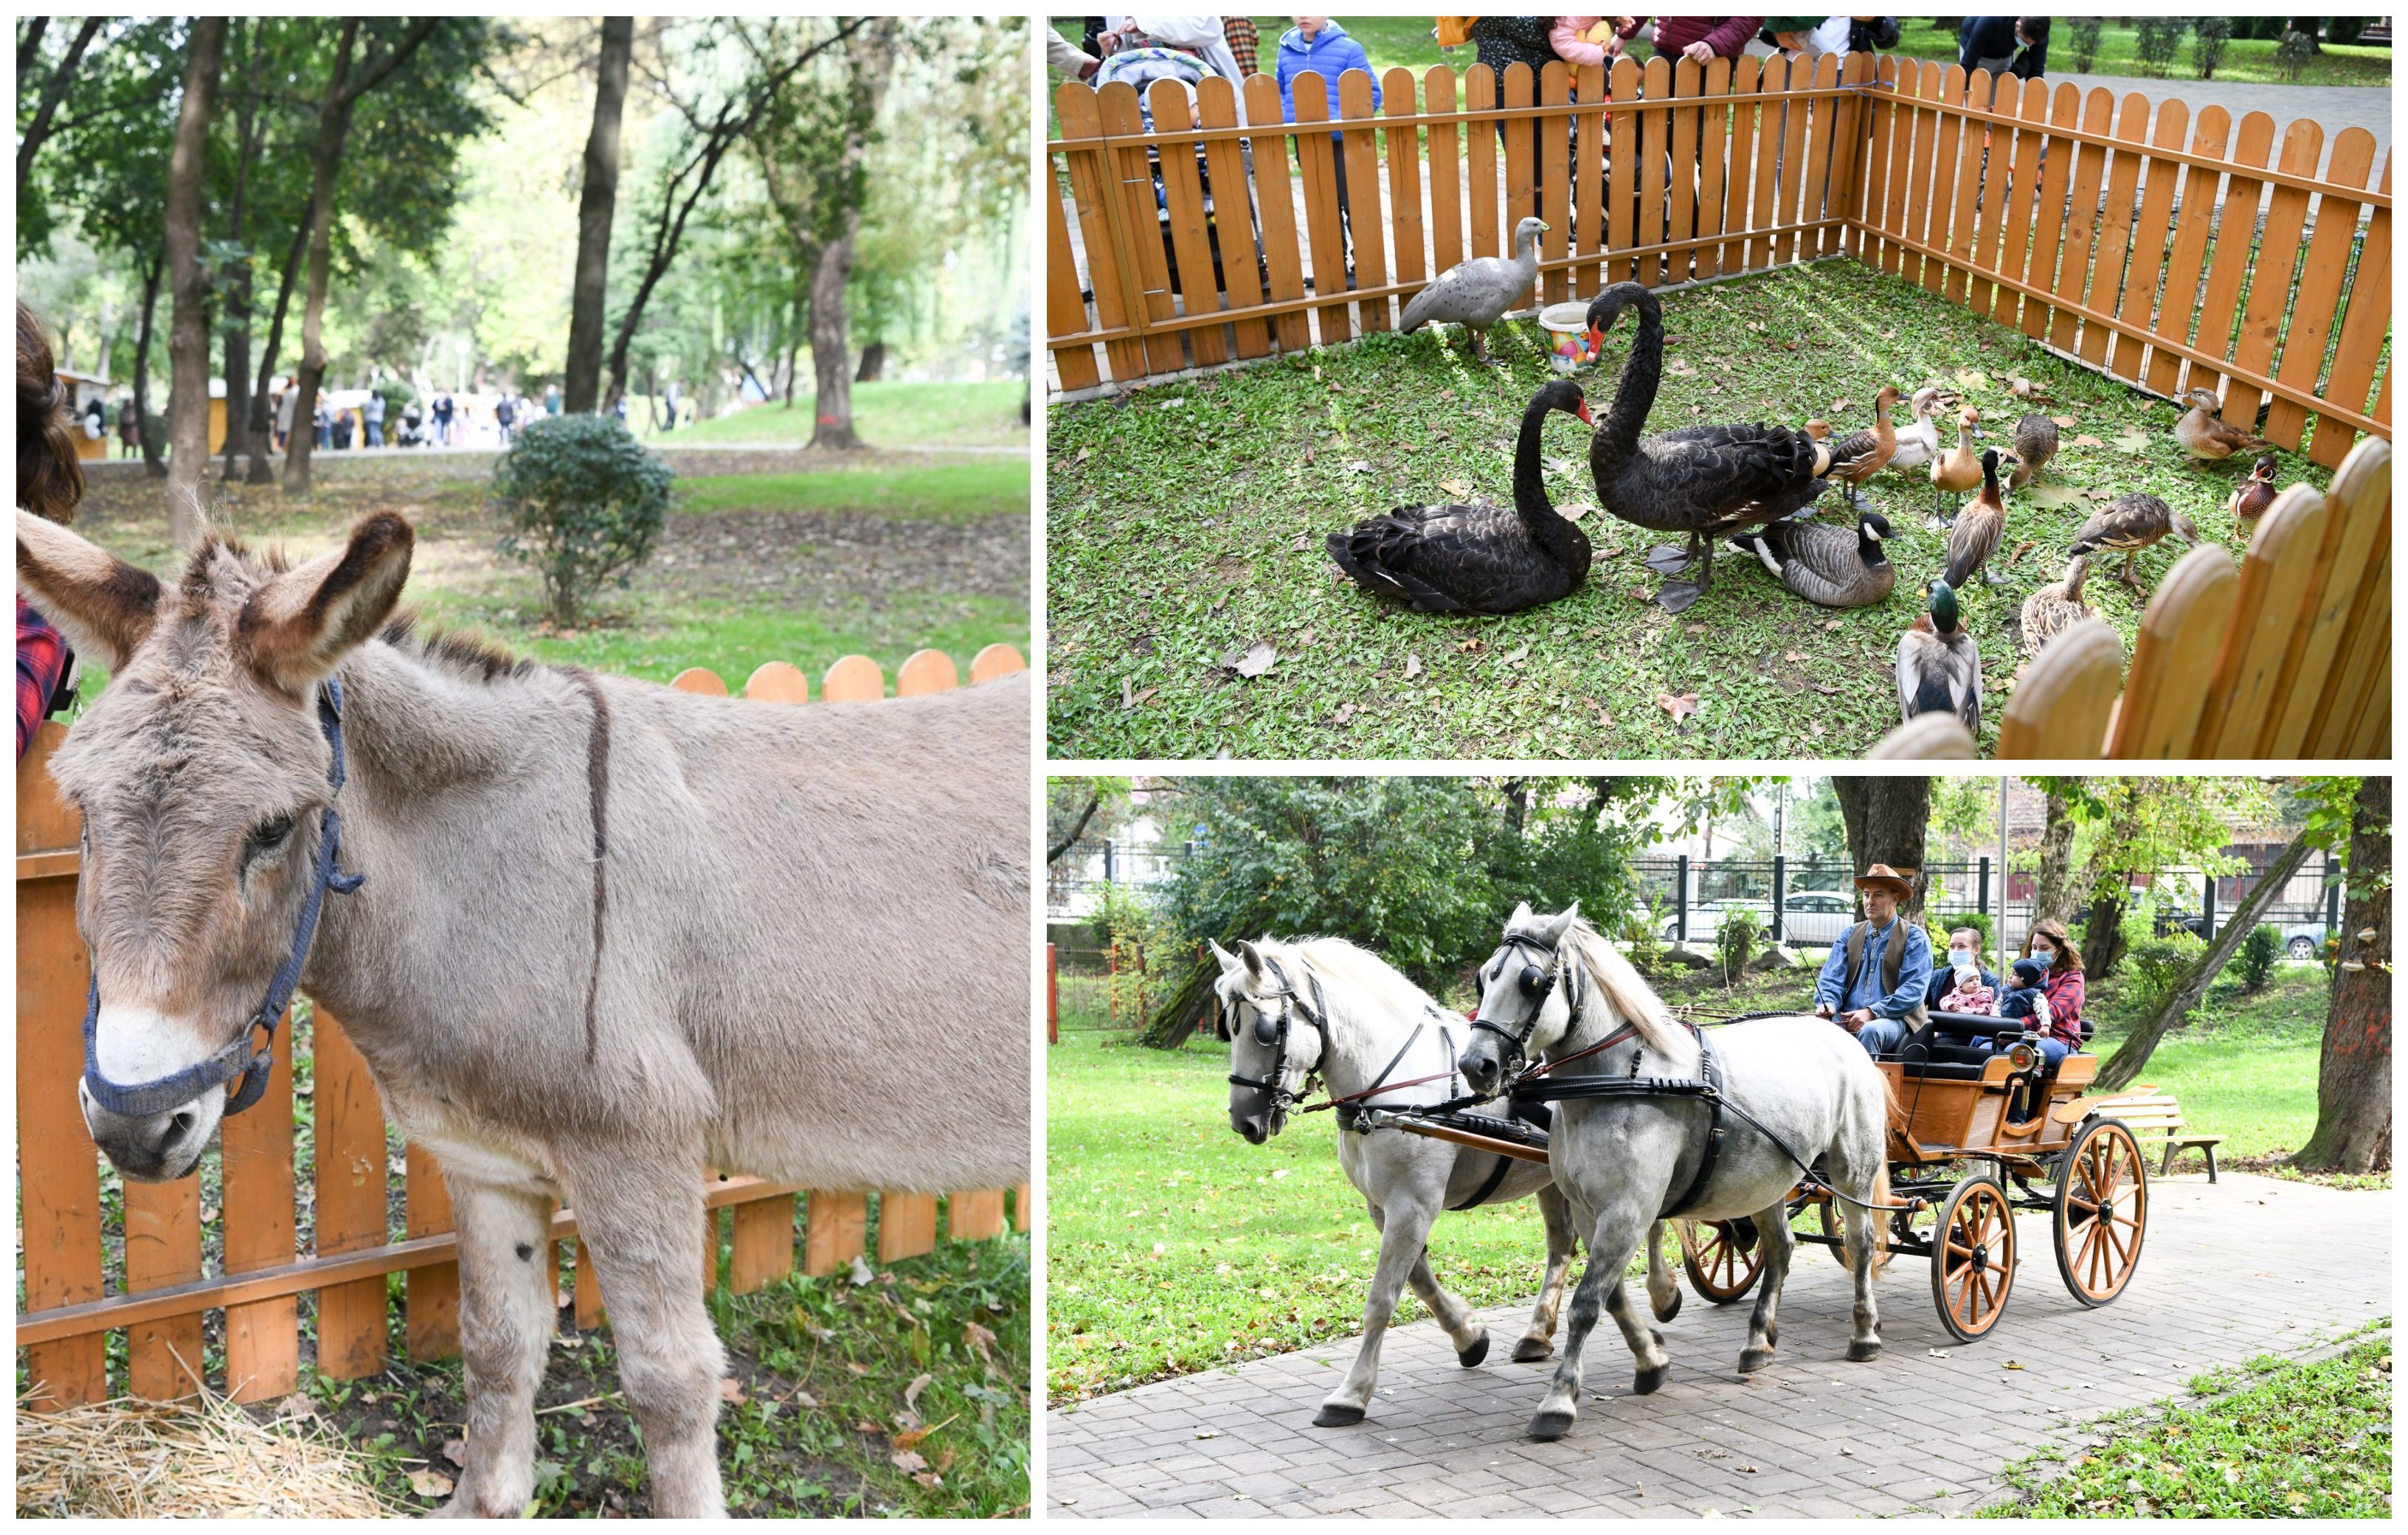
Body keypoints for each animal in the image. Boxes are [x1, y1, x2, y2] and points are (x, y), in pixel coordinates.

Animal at [16, 508, 1030, 1516]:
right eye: (82, 810)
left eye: (271, 829)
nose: (133, 1125)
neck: (482, 868)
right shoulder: (482, 1154)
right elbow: (496, 1342)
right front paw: (483, 1502)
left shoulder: (638, 1151)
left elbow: (671, 1380)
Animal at [1210, 936, 1685, 1427]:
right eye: (1228, 1026)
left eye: (1265, 1029)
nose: (1244, 1120)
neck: (1393, 1085)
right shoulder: (1385, 1207)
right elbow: (1419, 1281)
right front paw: (1468, 1336)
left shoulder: (1413, 1203)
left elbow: (1382, 1299)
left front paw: (1351, 1393)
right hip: (1557, 1182)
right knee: (1564, 1246)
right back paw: (1540, 1333)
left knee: (1653, 1225)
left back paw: (1663, 1293)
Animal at [1457, 903, 1892, 1441]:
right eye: (1484, 978)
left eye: (1532, 981)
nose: (1475, 1065)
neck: (1616, 1079)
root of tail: (1844, 1034)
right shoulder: (1590, 1212)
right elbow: (1613, 1298)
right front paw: (1651, 1360)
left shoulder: (1626, 1211)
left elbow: (1588, 1302)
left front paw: (1559, 1400)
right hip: (1767, 1178)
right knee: (1780, 1249)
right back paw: (1758, 1342)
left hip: (1852, 1172)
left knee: (1860, 1245)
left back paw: (1864, 1332)